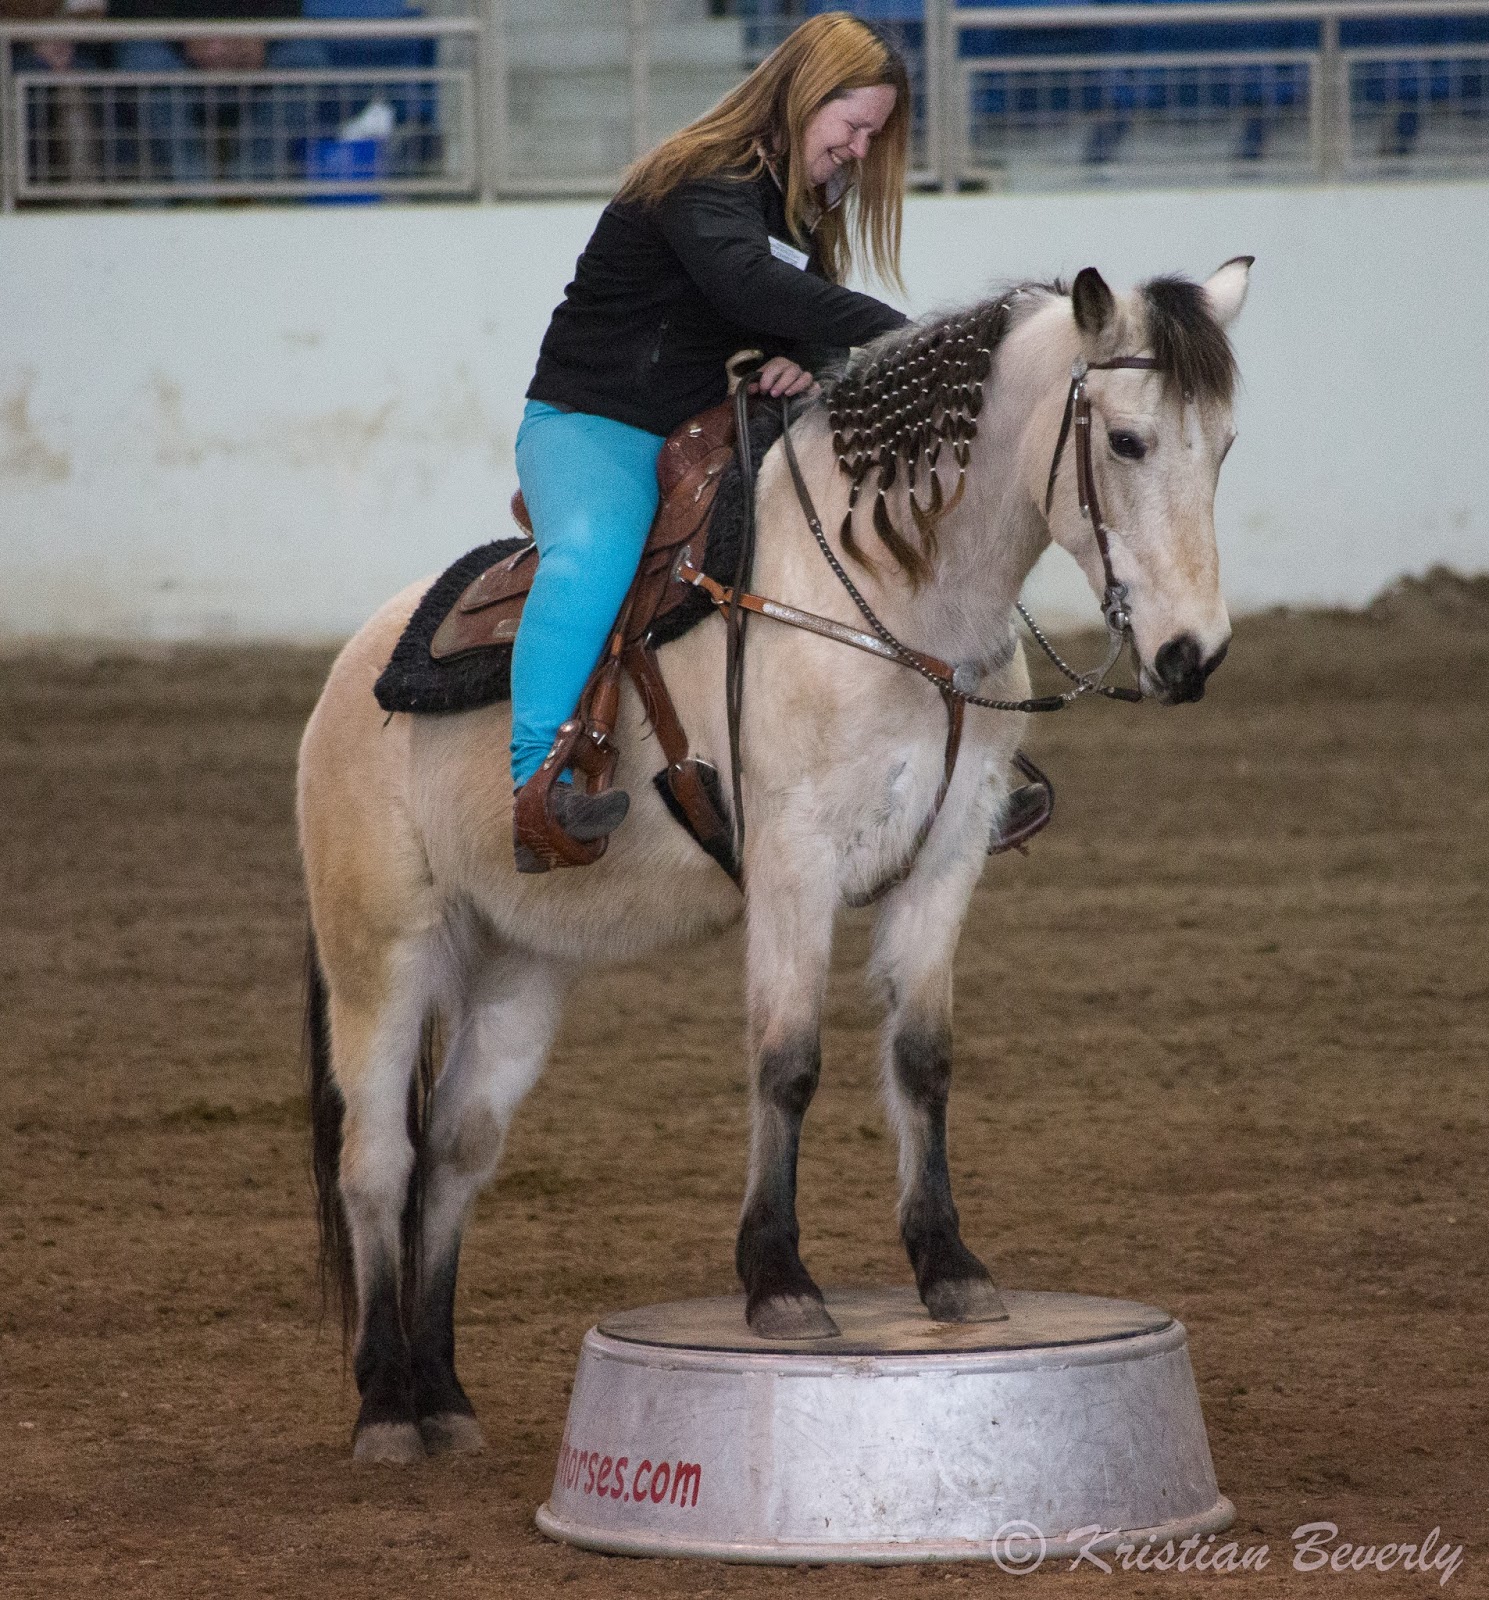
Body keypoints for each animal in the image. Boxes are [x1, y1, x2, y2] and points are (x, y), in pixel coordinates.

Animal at [297, 259, 1252, 1463]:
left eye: (1225, 444)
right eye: (1124, 440)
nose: (1191, 656)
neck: (893, 599)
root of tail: (347, 674)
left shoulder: (947, 857)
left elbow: (923, 1058)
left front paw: (950, 1268)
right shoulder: (795, 863)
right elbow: (787, 1062)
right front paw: (778, 1281)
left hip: (520, 964)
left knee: (455, 1156)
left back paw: (444, 1396)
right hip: (382, 952)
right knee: (377, 1161)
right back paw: (385, 1405)